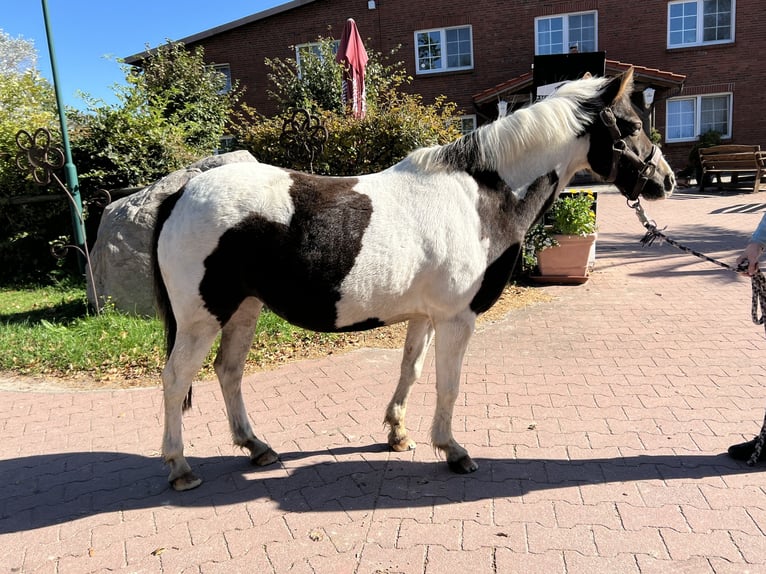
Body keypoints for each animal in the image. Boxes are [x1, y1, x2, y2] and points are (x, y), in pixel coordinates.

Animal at [152, 67, 680, 490]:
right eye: (632, 125)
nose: (666, 180)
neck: (481, 196)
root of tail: (179, 193)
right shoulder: (457, 318)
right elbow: (449, 384)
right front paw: (452, 450)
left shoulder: (425, 316)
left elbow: (412, 371)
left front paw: (398, 433)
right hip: (203, 317)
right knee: (177, 379)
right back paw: (179, 467)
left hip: (244, 308)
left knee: (228, 371)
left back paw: (256, 446)